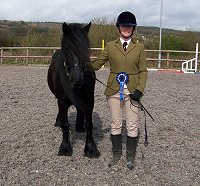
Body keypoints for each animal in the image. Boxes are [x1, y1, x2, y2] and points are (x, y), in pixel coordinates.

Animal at [47, 22, 100, 158]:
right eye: (66, 48)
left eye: (86, 48)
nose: (77, 79)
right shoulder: (62, 101)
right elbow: (65, 124)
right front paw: (65, 147)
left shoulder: (89, 101)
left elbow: (89, 125)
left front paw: (91, 148)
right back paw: (58, 122)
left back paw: (79, 126)